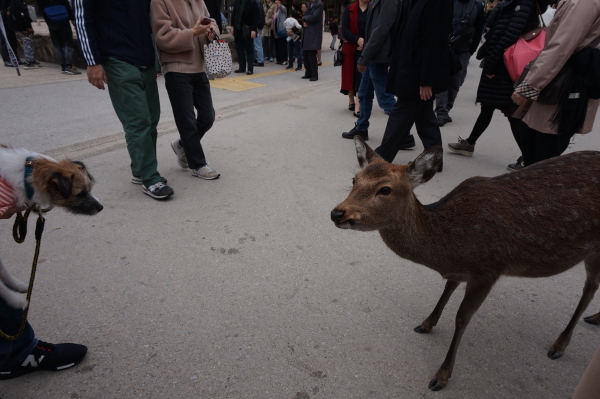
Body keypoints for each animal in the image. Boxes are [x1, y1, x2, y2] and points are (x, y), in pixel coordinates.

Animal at [0, 147, 102, 310]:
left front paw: (16, 287)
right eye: (80, 193)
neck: (26, 178)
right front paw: (15, 300)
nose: (101, 207)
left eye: (90, 188)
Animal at [330, 138, 600, 390]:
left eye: (385, 189)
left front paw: (442, 375)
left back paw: (560, 344)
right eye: (354, 179)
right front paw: (427, 323)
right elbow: (448, 288)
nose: (337, 213)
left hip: (594, 249)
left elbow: (462, 318)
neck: (452, 248)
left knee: (589, 288)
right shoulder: (461, 270)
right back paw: (594, 318)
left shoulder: (488, 269)